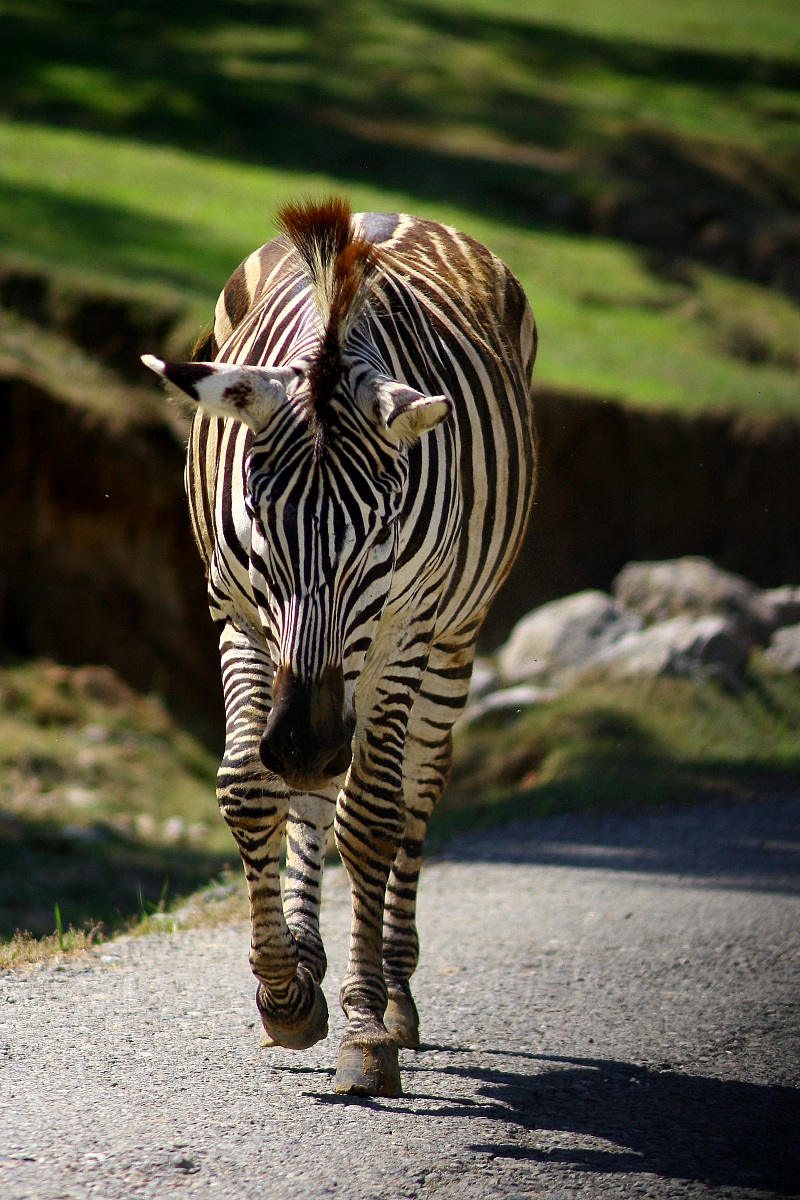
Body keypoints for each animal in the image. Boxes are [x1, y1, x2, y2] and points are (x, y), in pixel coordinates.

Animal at [142, 198, 536, 1097]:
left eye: (382, 528)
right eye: (256, 512)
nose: (304, 737)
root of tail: (397, 214)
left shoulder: (401, 631)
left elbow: (374, 818)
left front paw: (365, 1025)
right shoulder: (240, 617)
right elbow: (251, 790)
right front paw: (285, 995)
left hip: (448, 644)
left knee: (413, 789)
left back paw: (397, 992)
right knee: (317, 790)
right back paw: (310, 957)